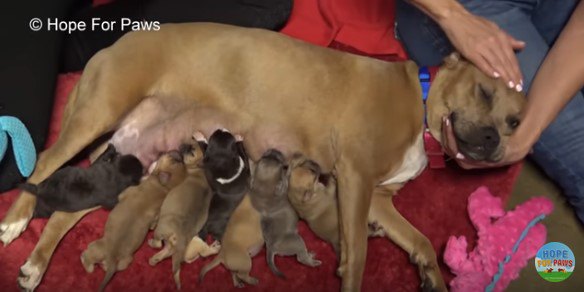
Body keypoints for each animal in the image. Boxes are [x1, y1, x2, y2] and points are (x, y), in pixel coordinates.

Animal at [80, 152, 187, 290]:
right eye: (177, 161)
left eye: (173, 159)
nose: (179, 154)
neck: (163, 187)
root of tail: (112, 258)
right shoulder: (156, 214)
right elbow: (153, 223)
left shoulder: (126, 192)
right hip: (125, 262)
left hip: (95, 246)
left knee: (88, 259)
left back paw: (84, 260)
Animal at [147, 138, 218, 288]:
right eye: (193, 139)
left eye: (192, 153)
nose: (182, 145)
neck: (199, 169)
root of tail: (178, 238)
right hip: (177, 246)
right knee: (160, 256)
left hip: (160, 231)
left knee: (158, 245)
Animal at [246, 149, 320, 278]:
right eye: (280, 165)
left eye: (264, 157)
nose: (273, 150)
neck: (264, 191)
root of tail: (271, 248)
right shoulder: (286, 184)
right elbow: (288, 176)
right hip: (297, 241)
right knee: (301, 258)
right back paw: (313, 262)